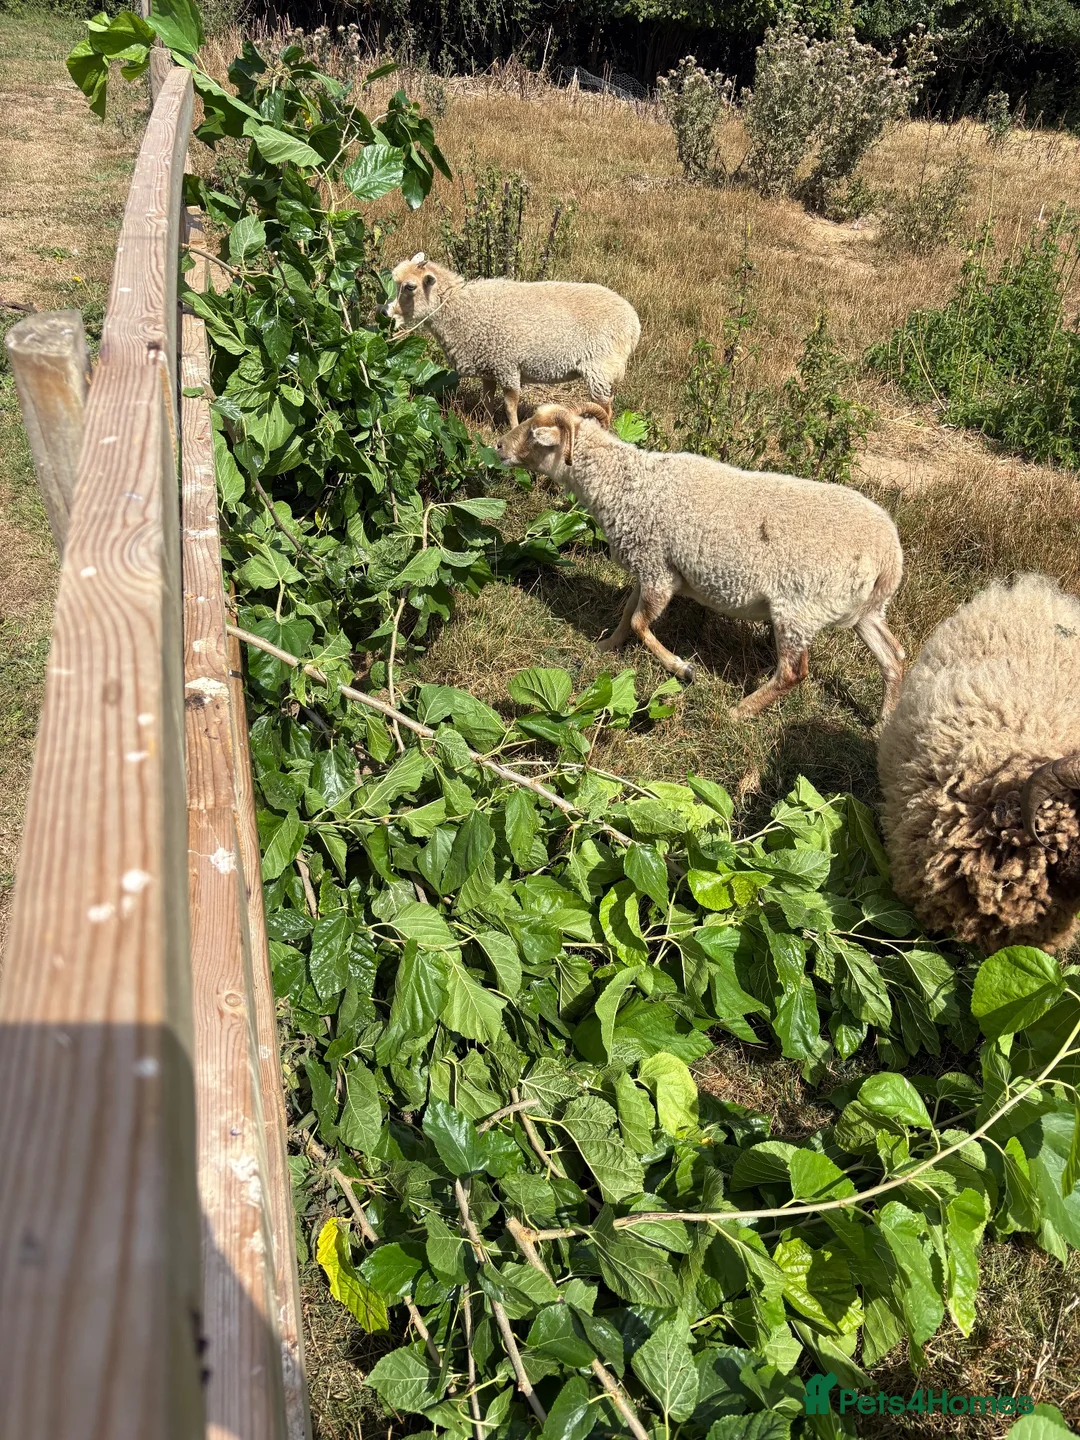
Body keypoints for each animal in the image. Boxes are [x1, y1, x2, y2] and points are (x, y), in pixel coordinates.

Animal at [384, 254, 640, 427]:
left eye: (410, 287)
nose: (385, 312)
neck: (461, 309)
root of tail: (633, 323)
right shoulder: (488, 364)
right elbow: (487, 400)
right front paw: (486, 426)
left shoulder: (507, 364)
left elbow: (509, 405)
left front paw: (512, 429)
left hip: (601, 367)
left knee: (605, 406)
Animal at [495, 403, 906, 719]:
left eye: (533, 434)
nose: (498, 444)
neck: (626, 484)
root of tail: (890, 558)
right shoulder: (648, 567)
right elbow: (628, 615)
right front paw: (606, 646)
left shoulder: (659, 571)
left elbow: (642, 624)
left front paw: (682, 668)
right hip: (864, 612)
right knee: (894, 657)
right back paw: (884, 720)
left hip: (799, 608)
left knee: (793, 673)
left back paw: (738, 713)